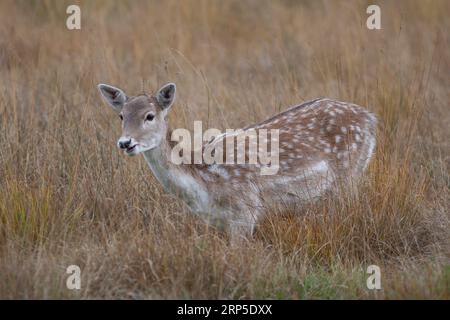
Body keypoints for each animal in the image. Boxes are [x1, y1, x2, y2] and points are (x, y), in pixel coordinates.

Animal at [97, 82, 376, 240]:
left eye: (150, 115)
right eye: (121, 115)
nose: (125, 143)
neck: (204, 184)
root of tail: (371, 118)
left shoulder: (245, 211)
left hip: (350, 175)